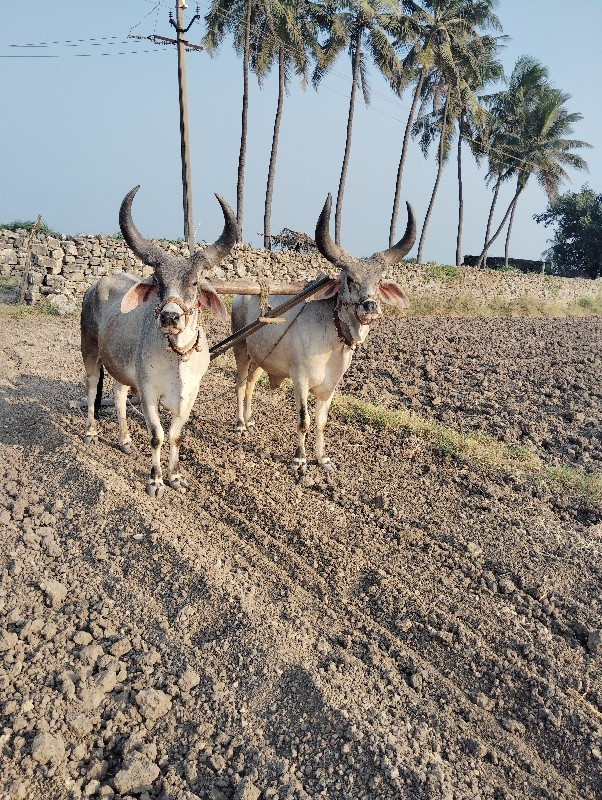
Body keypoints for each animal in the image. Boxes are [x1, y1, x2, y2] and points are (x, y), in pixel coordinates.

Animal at [79, 188, 237, 500]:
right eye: (158, 281)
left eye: (194, 283)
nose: (170, 317)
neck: (178, 358)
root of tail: (95, 286)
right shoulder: (149, 392)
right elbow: (157, 436)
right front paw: (155, 480)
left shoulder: (189, 396)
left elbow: (174, 436)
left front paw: (174, 477)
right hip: (90, 353)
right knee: (91, 391)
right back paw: (91, 432)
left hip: (122, 369)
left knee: (118, 396)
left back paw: (125, 440)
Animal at [230, 195, 412, 476]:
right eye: (350, 279)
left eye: (379, 281)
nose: (370, 307)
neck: (332, 341)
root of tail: (243, 294)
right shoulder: (300, 380)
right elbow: (303, 421)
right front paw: (300, 459)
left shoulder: (329, 388)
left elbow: (321, 423)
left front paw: (322, 458)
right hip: (240, 348)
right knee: (239, 384)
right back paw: (239, 423)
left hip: (261, 358)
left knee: (250, 384)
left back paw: (249, 421)